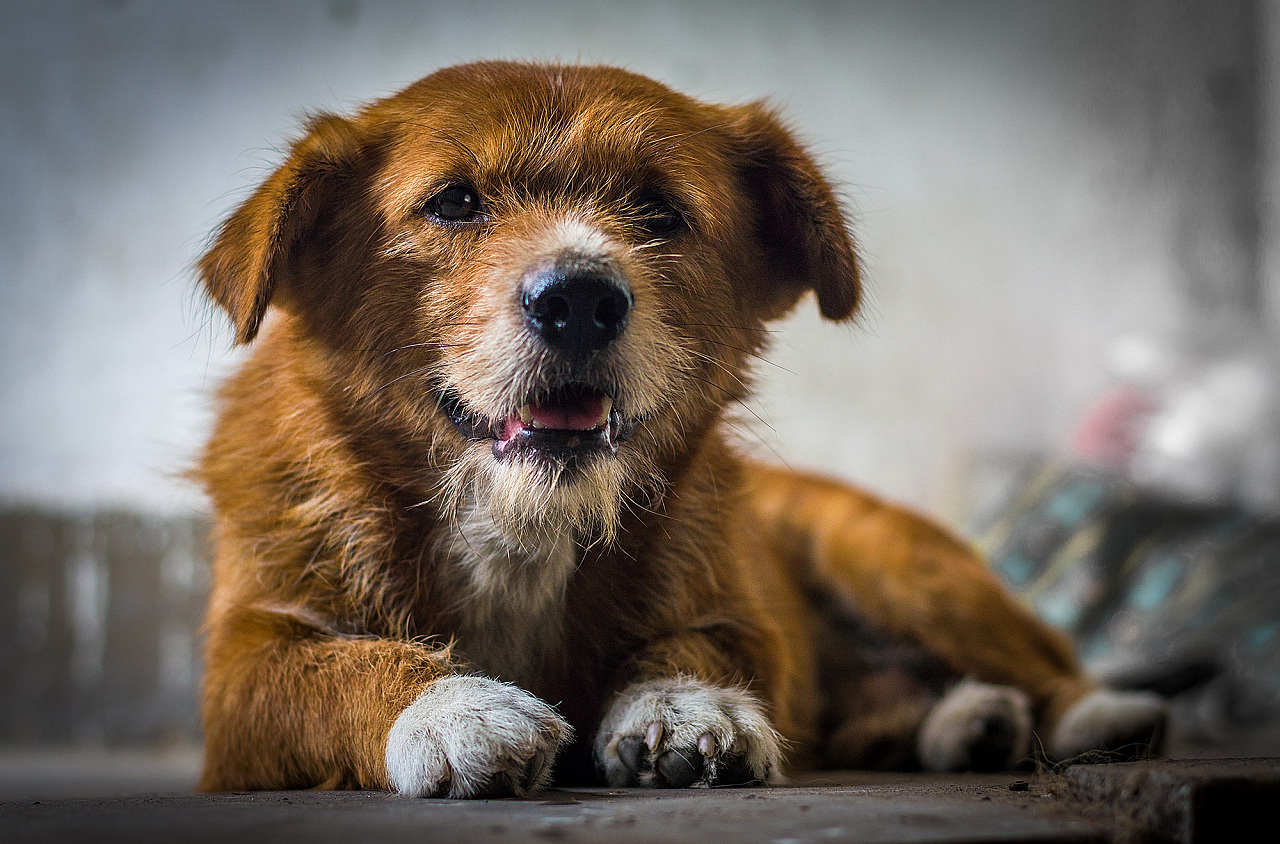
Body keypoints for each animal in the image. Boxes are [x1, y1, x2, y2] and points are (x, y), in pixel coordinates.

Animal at [194, 62, 1167, 794]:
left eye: (659, 211)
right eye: (455, 203)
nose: (579, 299)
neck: (521, 524)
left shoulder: (747, 618)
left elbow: (700, 644)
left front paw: (684, 705)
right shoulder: (241, 670)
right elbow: (326, 672)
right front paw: (451, 707)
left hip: (900, 565)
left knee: (1041, 663)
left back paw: (1088, 716)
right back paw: (969, 721)